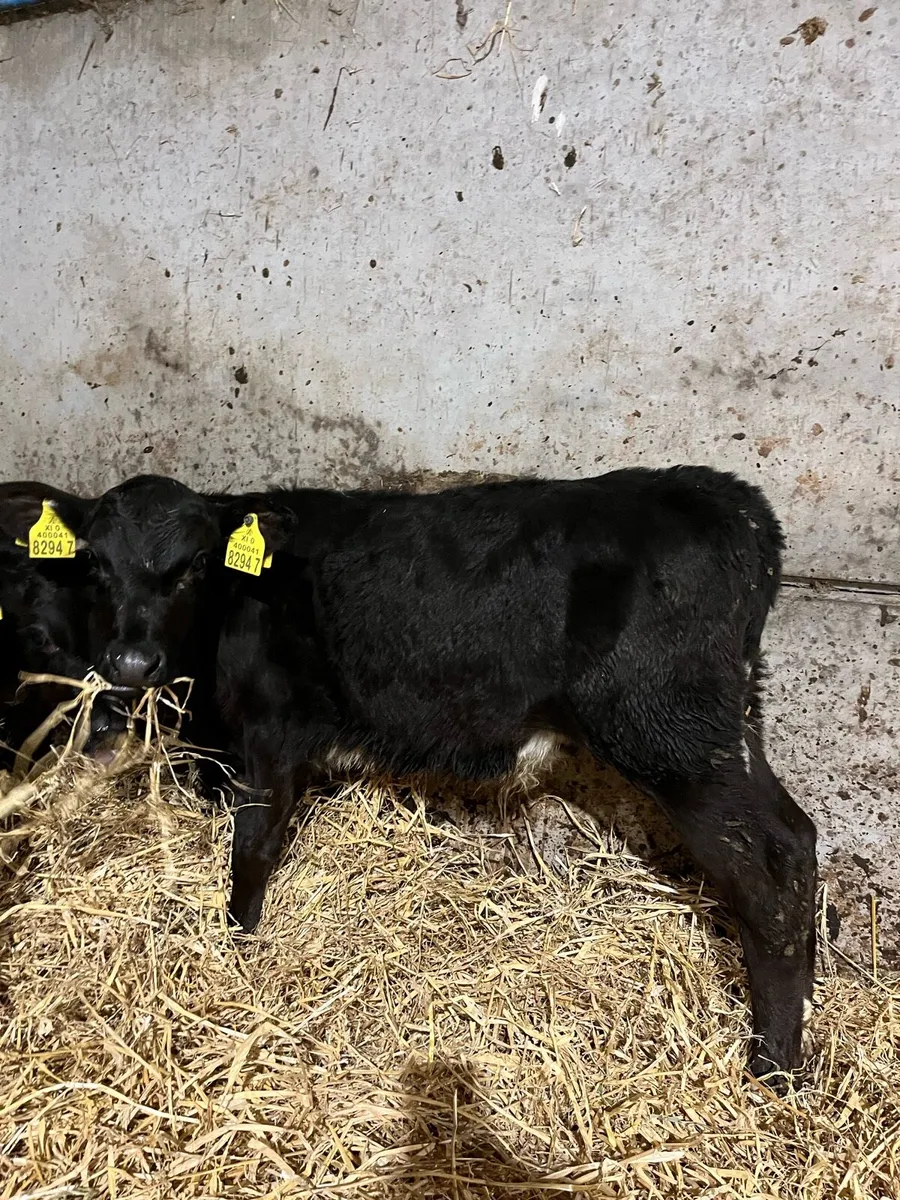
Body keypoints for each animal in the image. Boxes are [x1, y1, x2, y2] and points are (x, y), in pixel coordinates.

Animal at [11, 468, 817, 1083]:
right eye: (95, 565)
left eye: (195, 566)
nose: (129, 662)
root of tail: (731, 500)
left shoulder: (270, 735)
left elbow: (252, 852)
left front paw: (236, 954)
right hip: (725, 728)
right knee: (799, 836)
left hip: (672, 734)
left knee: (767, 868)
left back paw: (773, 1064)